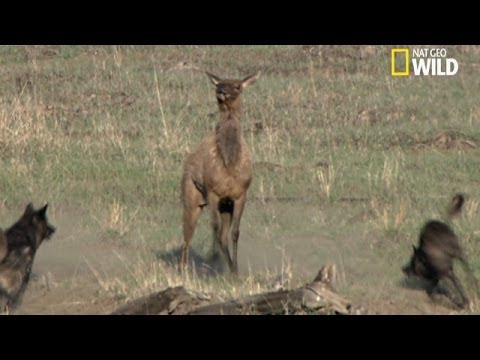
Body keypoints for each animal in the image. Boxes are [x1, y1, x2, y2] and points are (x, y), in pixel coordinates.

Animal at [179, 70, 258, 274]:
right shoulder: (213, 192)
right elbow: (215, 230)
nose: (220, 90)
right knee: (187, 234)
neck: (229, 162)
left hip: (224, 205)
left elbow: (234, 233)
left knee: (220, 233)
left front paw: (234, 269)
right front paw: (230, 269)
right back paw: (183, 269)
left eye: (237, 86)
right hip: (192, 196)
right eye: (218, 83)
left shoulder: (240, 195)